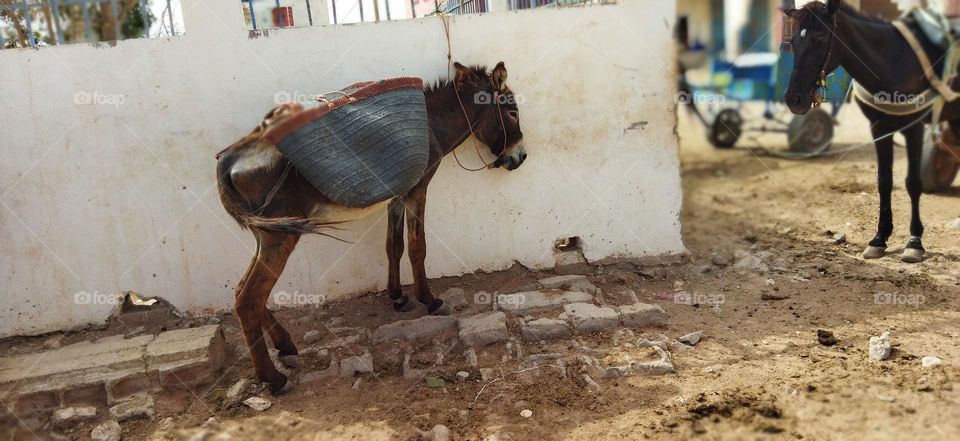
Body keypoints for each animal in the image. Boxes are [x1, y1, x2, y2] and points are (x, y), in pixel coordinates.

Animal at [216, 61, 524, 392]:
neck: (432, 124)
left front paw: (398, 296)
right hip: (279, 236)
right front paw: (429, 300)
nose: (520, 157)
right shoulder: (417, 190)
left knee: (242, 290)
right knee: (249, 297)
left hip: (268, 233)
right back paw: (273, 378)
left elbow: (394, 246)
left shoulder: (397, 194)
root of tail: (230, 157)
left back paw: (284, 345)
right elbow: (417, 247)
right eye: (513, 111)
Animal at [784, 0, 956, 262]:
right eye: (792, 41)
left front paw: (914, 242)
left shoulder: (913, 128)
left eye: (821, 39)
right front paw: (879, 238)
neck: (894, 61)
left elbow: (912, 182)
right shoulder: (879, 127)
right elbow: (884, 181)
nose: (794, 99)